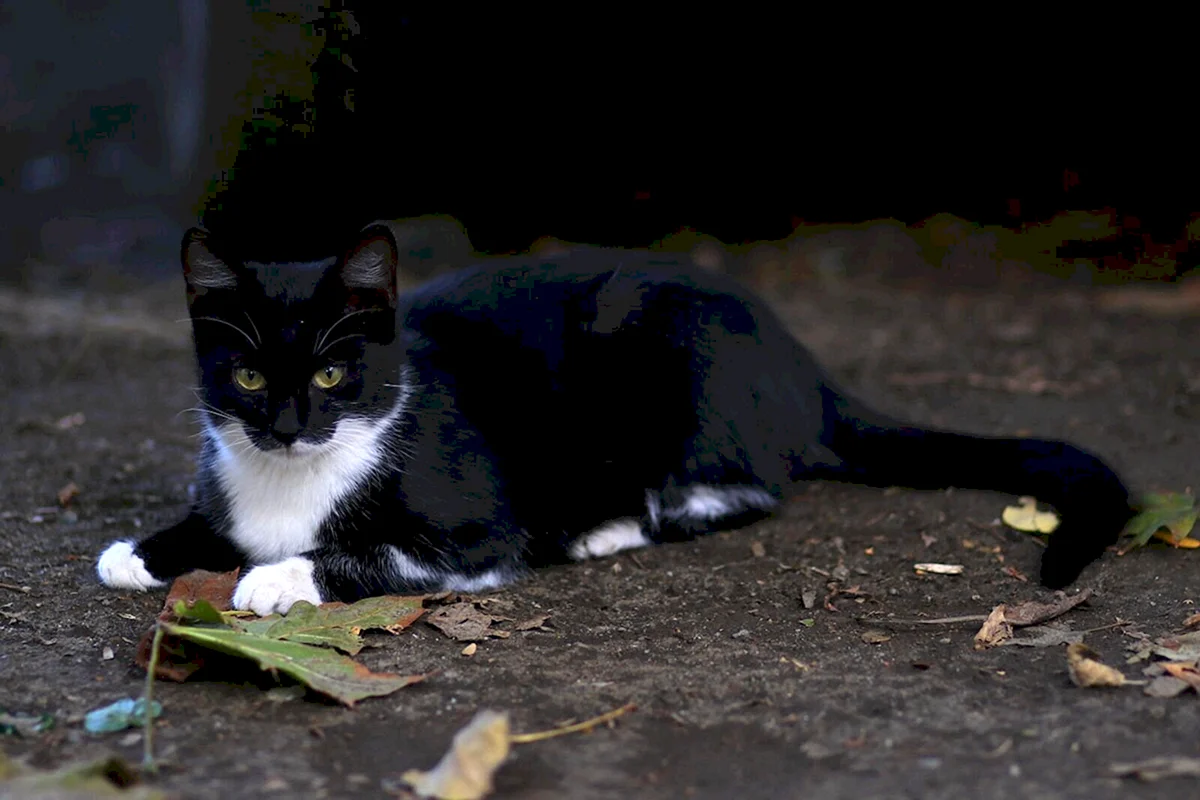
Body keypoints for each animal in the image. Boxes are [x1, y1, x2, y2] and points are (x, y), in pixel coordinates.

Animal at [96, 224, 1132, 614]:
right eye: (244, 375)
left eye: (333, 371)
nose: (285, 424)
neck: (297, 477)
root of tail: (801, 361)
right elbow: (212, 522)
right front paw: (140, 551)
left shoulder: (476, 527)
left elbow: (373, 553)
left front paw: (275, 579)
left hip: (672, 353)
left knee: (746, 486)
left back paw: (612, 524)